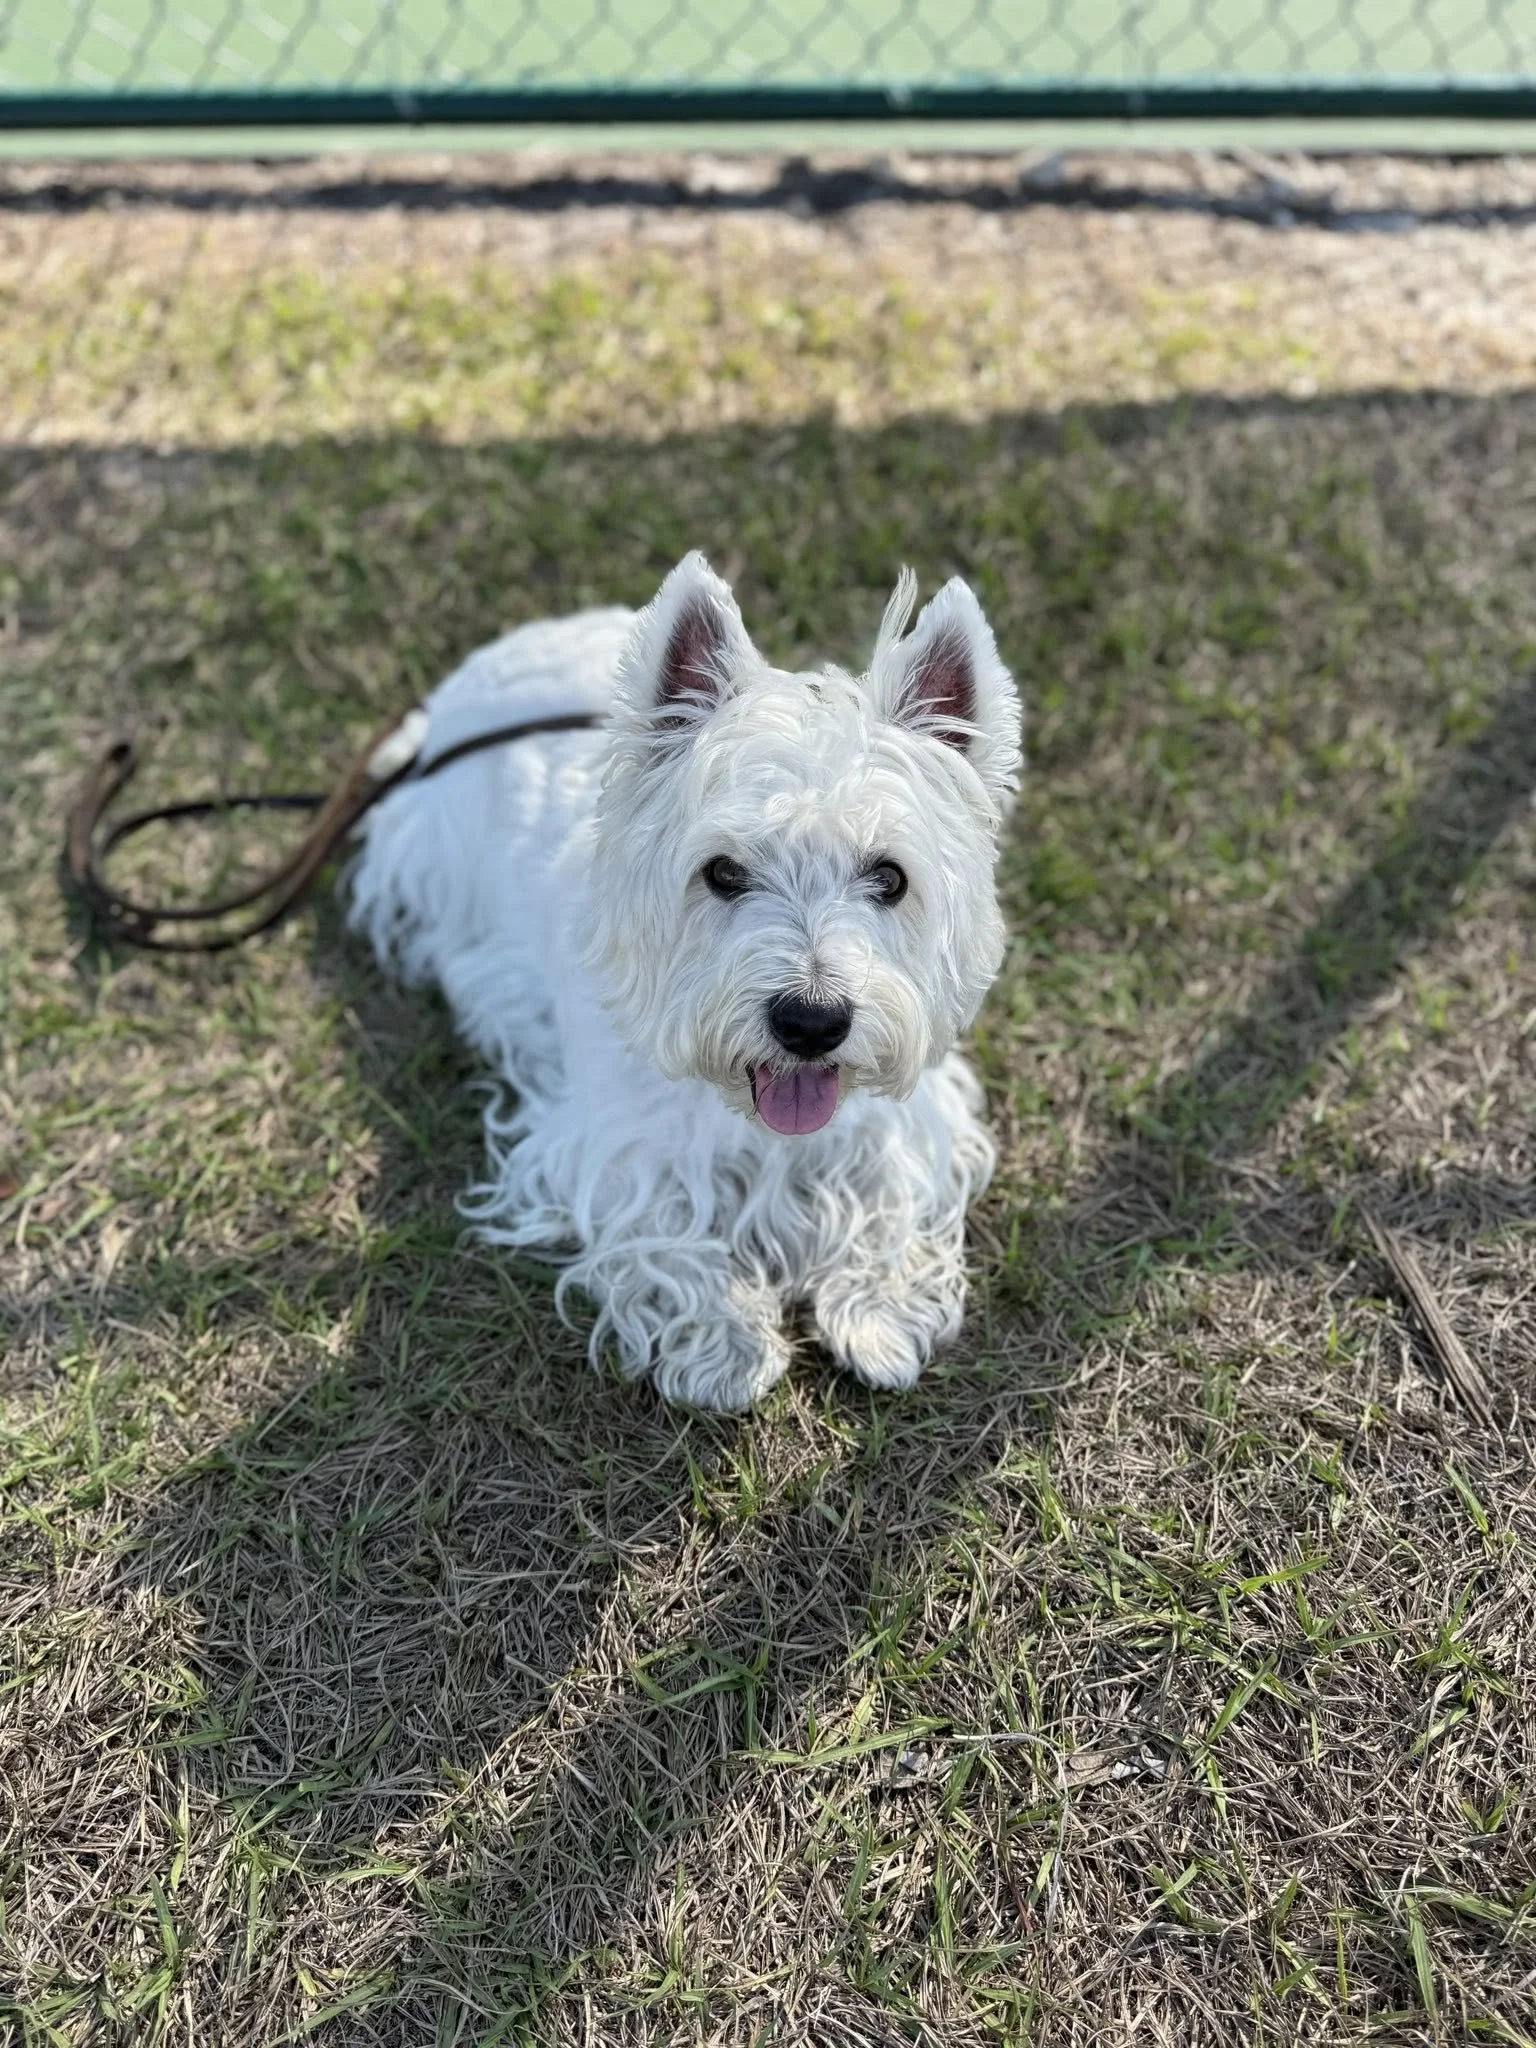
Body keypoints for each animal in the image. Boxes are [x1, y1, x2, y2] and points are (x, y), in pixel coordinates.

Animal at [348, 554, 1023, 1410]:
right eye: (724, 872)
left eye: (890, 877)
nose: (811, 1022)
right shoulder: (614, 1143)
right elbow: (665, 1230)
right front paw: (727, 1344)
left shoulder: (902, 1120)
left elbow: (889, 1195)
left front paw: (881, 1314)